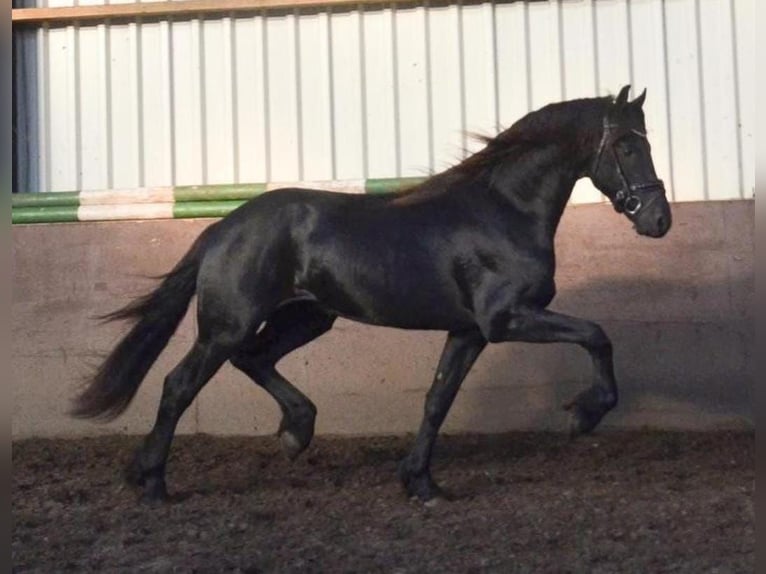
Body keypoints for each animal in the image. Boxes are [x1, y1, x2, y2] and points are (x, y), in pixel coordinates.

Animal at [73, 85, 672, 504]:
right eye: (625, 145)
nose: (658, 220)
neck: (503, 212)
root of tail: (222, 229)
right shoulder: (507, 319)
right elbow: (597, 335)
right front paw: (584, 414)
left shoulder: (469, 331)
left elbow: (437, 399)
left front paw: (421, 483)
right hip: (227, 326)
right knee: (180, 384)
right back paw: (155, 484)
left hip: (306, 318)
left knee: (255, 359)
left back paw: (294, 432)